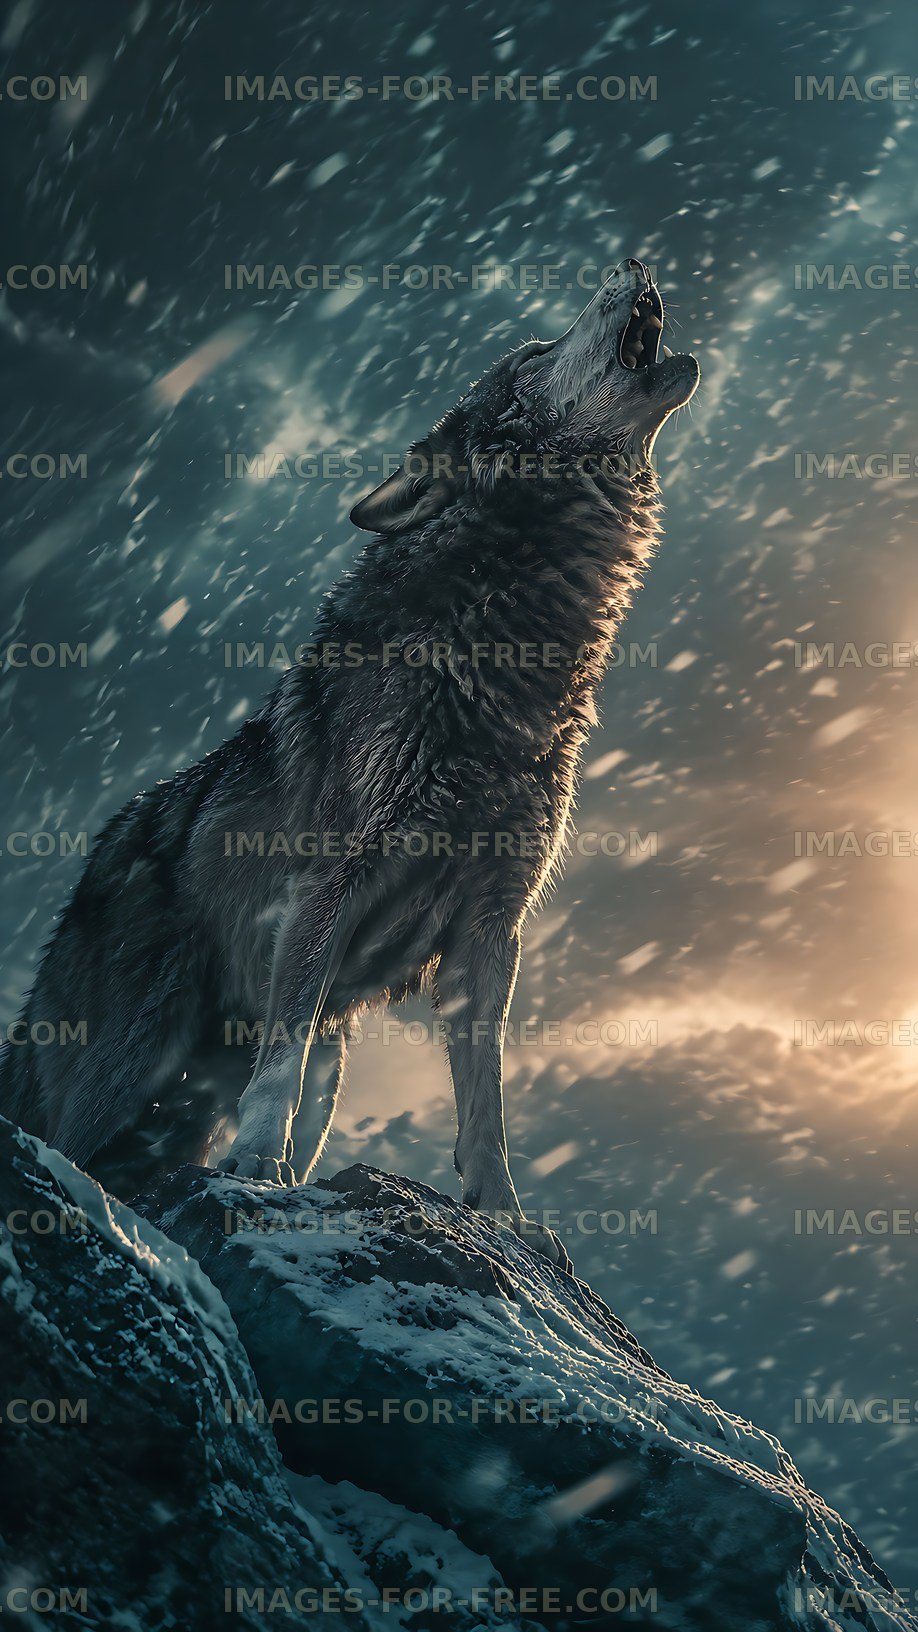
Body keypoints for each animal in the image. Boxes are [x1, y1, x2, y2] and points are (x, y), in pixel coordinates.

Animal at [1, 258, 698, 1260]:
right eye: (535, 350)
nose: (634, 261)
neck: (502, 647)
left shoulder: (493, 927)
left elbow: (485, 1101)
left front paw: (505, 1217)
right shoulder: (326, 887)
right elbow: (279, 1063)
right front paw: (257, 1168)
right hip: (133, 1065)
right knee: (76, 1150)